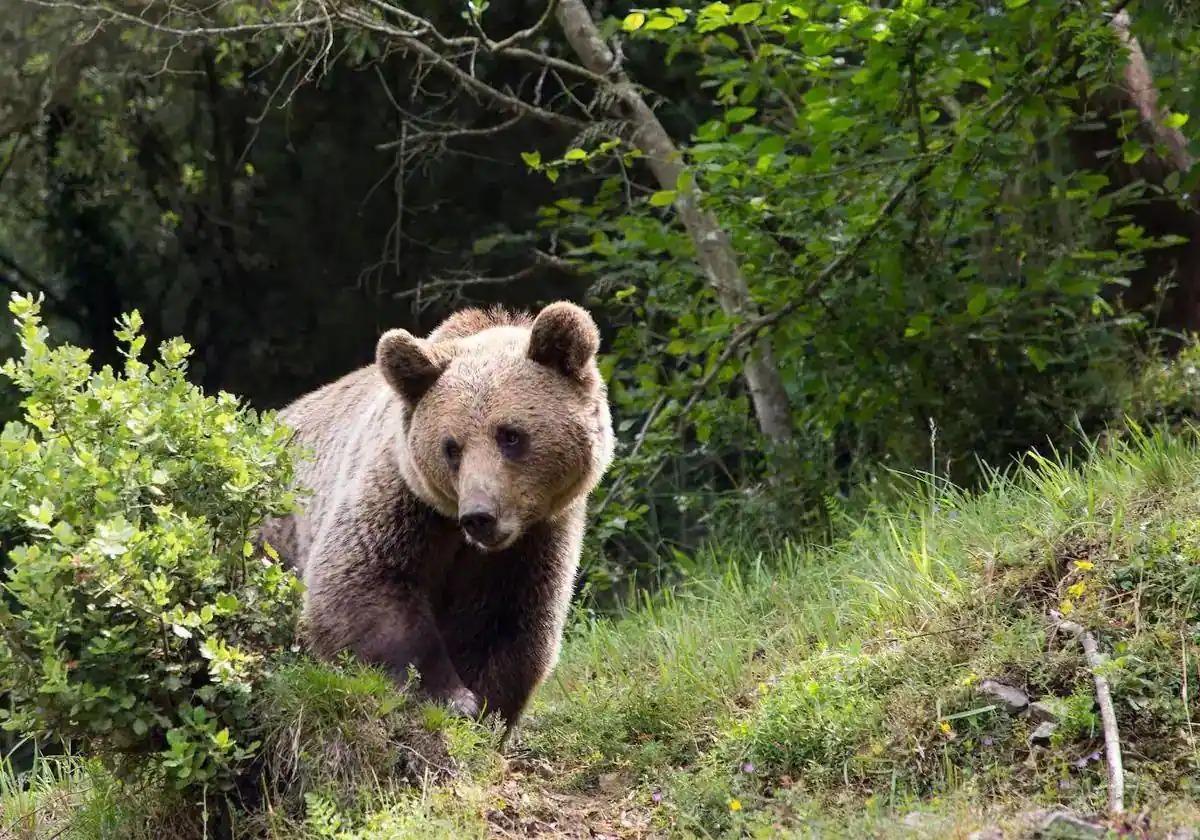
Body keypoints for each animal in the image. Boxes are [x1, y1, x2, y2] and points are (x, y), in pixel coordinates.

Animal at [259, 303, 614, 729]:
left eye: (510, 434)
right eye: (451, 447)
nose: (479, 516)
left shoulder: (535, 540)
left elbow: (507, 624)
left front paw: (485, 707)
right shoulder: (403, 502)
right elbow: (363, 584)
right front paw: (449, 696)